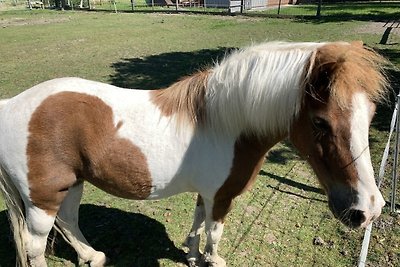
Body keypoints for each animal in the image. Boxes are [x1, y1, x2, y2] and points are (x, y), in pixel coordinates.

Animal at [0, 40, 388, 266]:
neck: (224, 124)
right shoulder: (222, 197)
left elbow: (198, 222)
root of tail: (11, 105)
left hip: (71, 185)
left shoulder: (209, 193)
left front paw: (191, 255)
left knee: (68, 222)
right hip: (42, 199)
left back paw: (93, 256)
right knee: (35, 246)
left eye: (370, 115)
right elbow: (215, 233)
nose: (367, 210)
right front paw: (212, 260)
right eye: (321, 122)